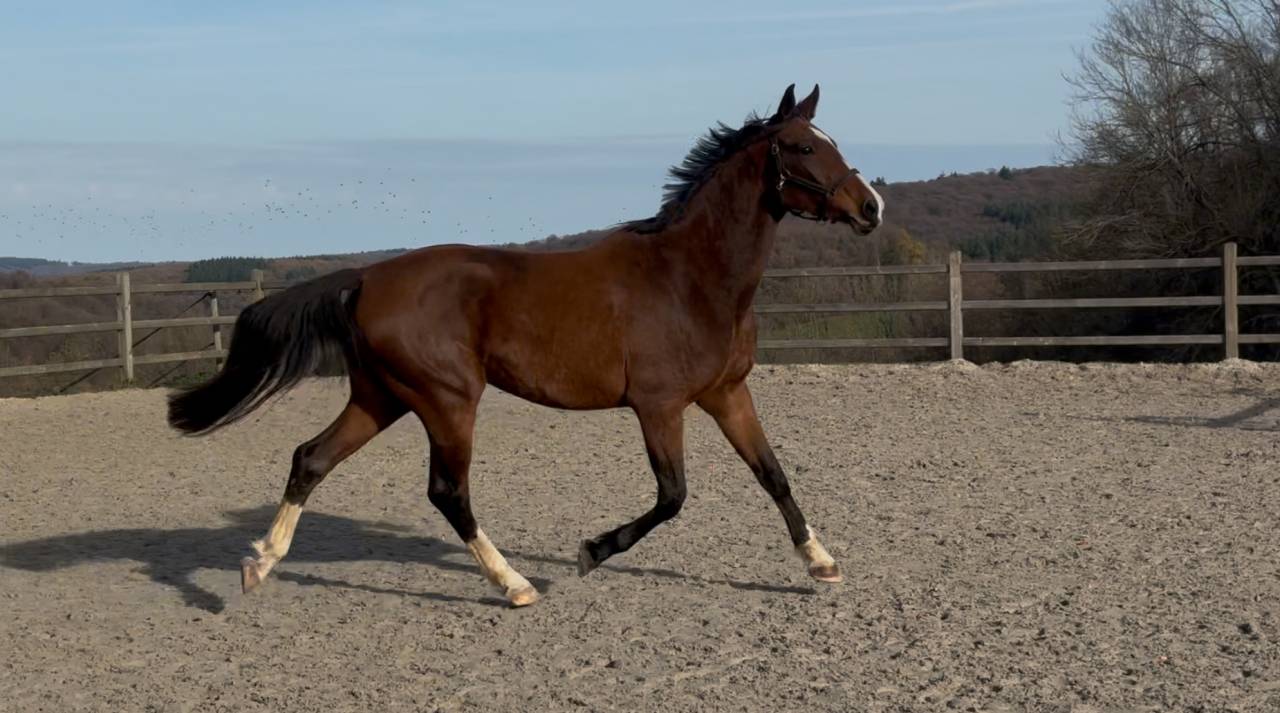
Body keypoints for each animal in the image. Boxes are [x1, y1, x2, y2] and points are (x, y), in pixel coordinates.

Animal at [168, 84, 885, 607]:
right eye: (801, 146)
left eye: (830, 141)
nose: (871, 206)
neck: (692, 277)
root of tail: (367, 277)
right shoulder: (659, 405)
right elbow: (673, 496)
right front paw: (591, 551)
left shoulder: (727, 393)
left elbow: (773, 474)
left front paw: (822, 564)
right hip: (448, 400)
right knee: (447, 491)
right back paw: (514, 585)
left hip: (382, 397)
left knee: (311, 459)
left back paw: (259, 565)